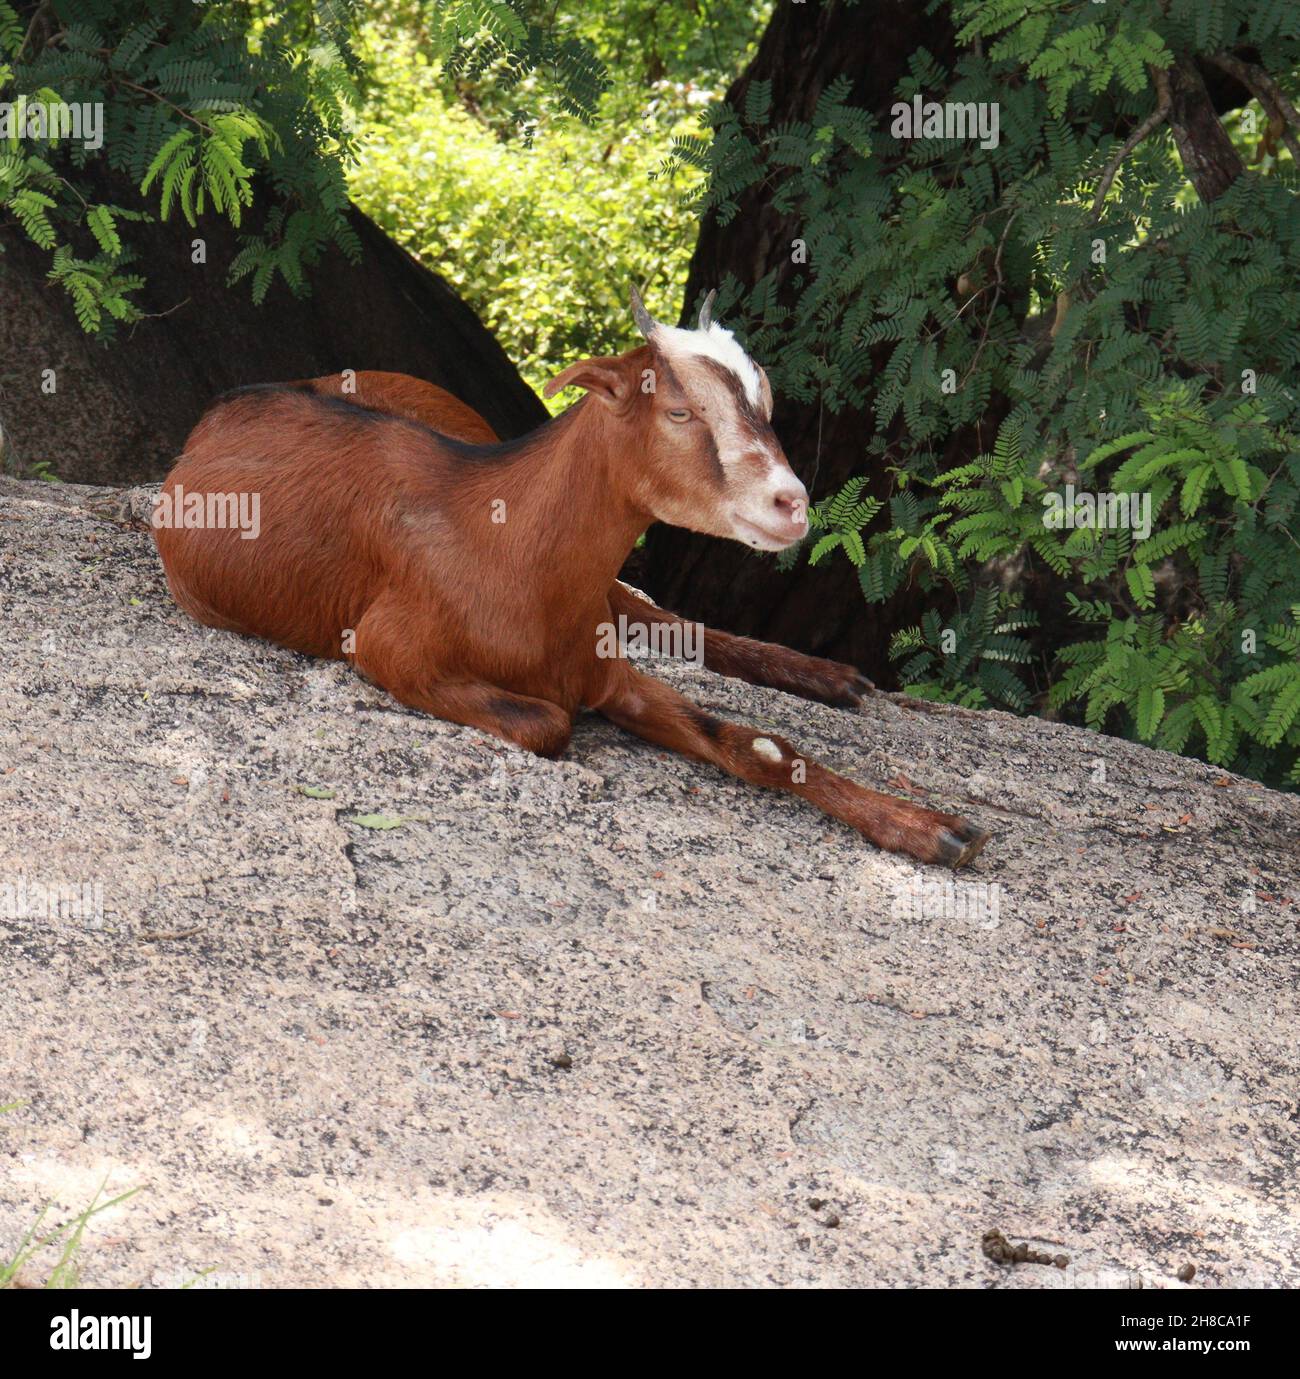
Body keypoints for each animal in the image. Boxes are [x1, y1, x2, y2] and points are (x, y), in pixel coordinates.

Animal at [150, 295, 987, 866]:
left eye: (767, 403)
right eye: (679, 410)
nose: (791, 502)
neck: (506, 547)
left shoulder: (603, 663)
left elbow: (759, 744)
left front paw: (934, 827)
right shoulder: (388, 648)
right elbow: (549, 724)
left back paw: (828, 676)